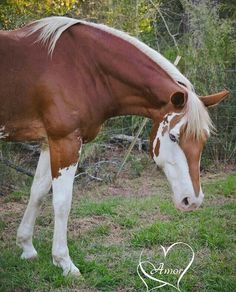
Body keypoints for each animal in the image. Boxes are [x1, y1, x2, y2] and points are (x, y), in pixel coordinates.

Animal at [0, 16, 229, 276]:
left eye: (203, 139)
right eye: (173, 137)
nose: (193, 201)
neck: (81, 66)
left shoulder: (49, 142)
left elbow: (37, 192)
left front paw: (27, 247)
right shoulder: (66, 141)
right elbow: (62, 202)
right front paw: (64, 262)